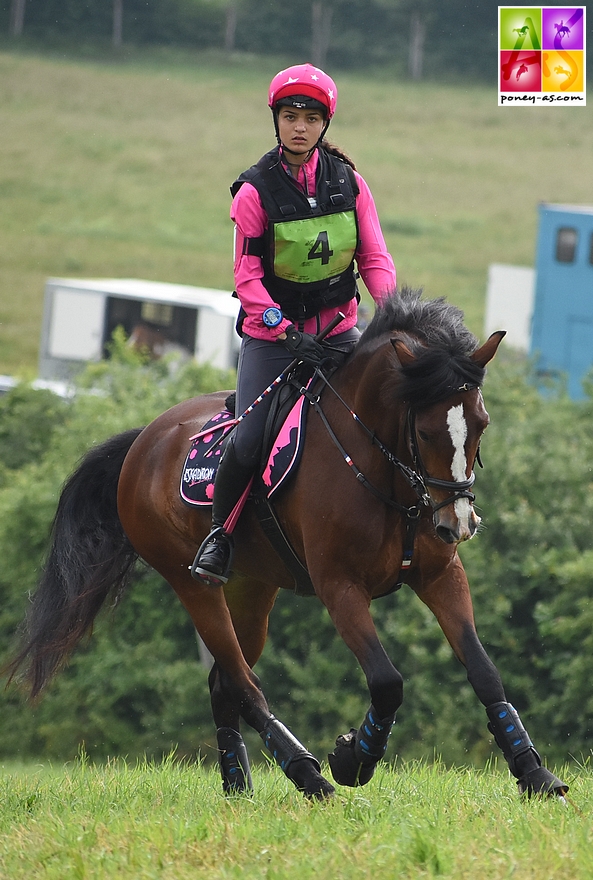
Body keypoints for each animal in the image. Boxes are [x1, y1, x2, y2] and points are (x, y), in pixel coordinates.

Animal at [8, 292, 564, 800]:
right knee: (242, 682)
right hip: (194, 584)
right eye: (425, 431)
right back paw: (307, 774)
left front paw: (534, 773)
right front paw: (353, 759)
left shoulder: (440, 576)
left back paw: (238, 784)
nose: (457, 523)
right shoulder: (340, 587)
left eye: (481, 424)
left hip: (252, 588)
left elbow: (484, 672)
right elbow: (387, 682)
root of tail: (145, 439)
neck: (387, 473)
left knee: (224, 683)